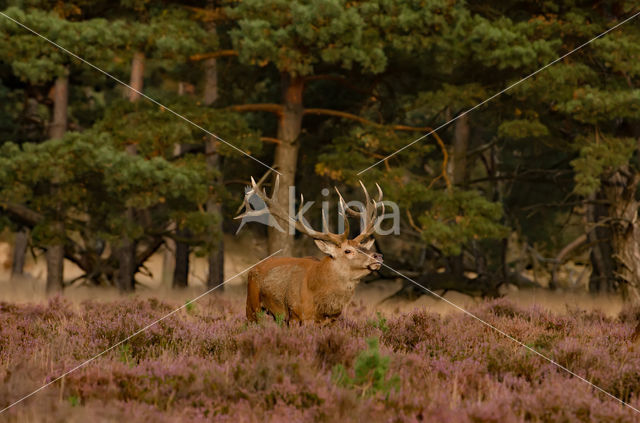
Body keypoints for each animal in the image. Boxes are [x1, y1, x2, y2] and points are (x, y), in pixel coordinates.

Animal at [236, 176, 382, 324]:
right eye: (347, 251)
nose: (378, 256)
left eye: (364, 247)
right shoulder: (295, 315)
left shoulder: (333, 320)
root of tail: (252, 269)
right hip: (251, 306)